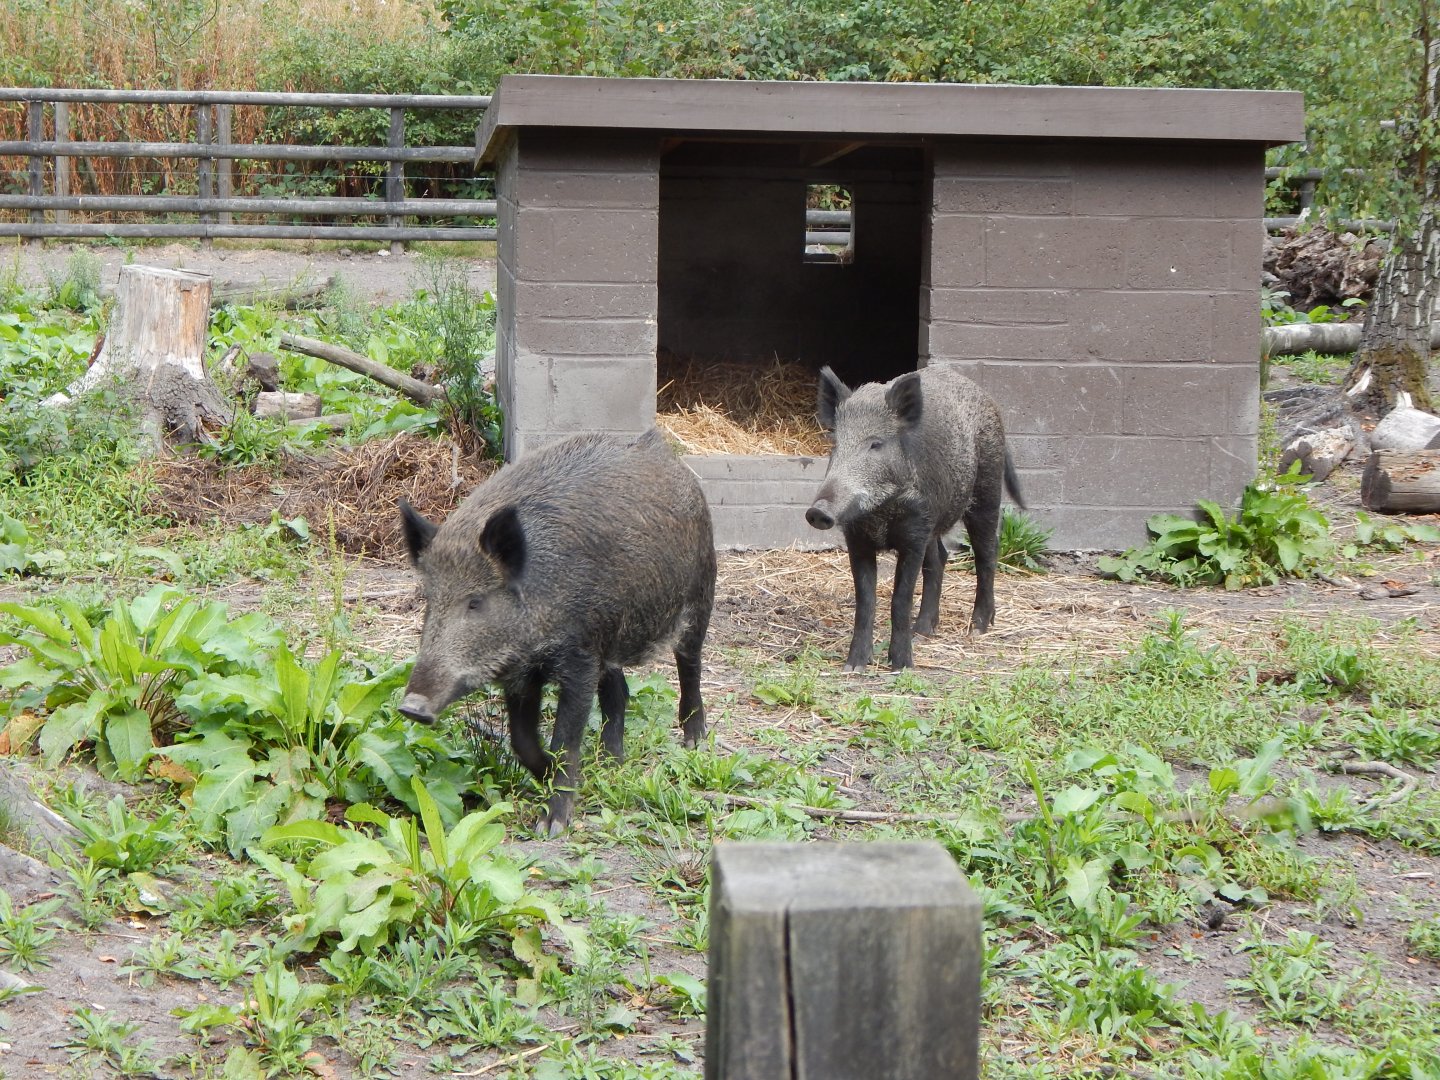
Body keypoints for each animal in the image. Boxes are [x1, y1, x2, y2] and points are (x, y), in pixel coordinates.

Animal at [397, 428, 716, 835]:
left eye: (476, 602)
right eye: (429, 598)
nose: (412, 706)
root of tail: (662, 449)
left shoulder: (579, 657)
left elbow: (565, 738)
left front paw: (552, 825)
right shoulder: (523, 673)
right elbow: (522, 740)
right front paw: (548, 776)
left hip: (701, 590)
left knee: (689, 663)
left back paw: (695, 742)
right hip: (609, 639)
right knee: (619, 690)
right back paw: (610, 762)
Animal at [805, 365, 1023, 672]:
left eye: (875, 444)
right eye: (836, 443)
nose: (817, 511)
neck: (881, 513)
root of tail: (985, 396)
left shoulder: (914, 534)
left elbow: (900, 599)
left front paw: (901, 667)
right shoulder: (858, 540)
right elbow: (865, 601)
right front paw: (854, 667)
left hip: (987, 488)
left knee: (987, 553)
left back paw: (978, 629)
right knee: (939, 558)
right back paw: (923, 631)